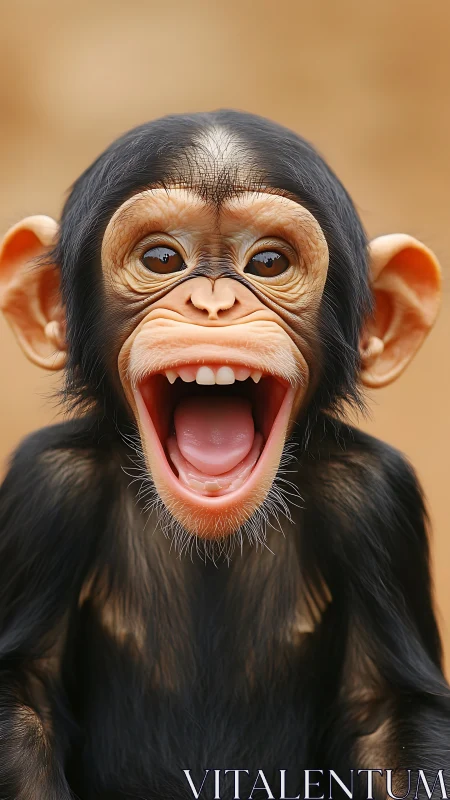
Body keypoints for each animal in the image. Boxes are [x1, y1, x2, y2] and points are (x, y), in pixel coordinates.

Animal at [0, 111, 448, 800]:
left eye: (267, 261)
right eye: (162, 258)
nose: (213, 303)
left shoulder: (377, 498)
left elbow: (389, 719)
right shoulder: (43, 489)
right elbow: (23, 697)